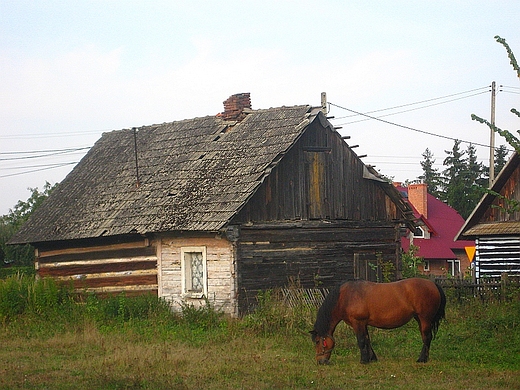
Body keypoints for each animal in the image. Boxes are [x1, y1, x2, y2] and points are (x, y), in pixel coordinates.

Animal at [310, 278, 444, 364]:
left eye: (317, 341)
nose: (320, 361)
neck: (345, 297)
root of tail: (433, 284)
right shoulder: (363, 324)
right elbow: (367, 340)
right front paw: (372, 358)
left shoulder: (358, 323)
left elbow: (361, 341)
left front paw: (364, 360)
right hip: (419, 319)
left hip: (425, 318)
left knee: (427, 338)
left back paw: (422, 359)